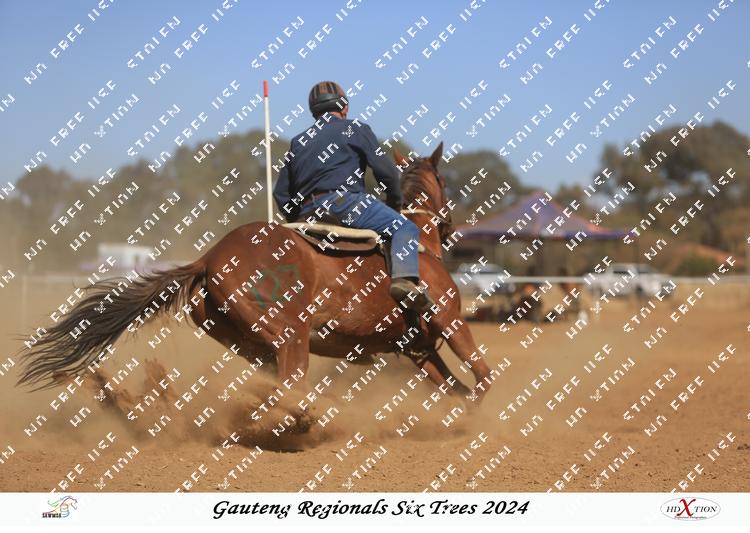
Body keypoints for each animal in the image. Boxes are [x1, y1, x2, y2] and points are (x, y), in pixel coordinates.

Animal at [17, 142, 494, 416]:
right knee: (290, 390)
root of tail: (209, 258)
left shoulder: (418, 351)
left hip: (252, 345)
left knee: (281, 389)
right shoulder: (452, 321)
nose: (451, 226)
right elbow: (483, 378)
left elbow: (454, 389)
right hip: (290, 336)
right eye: (444, 179)